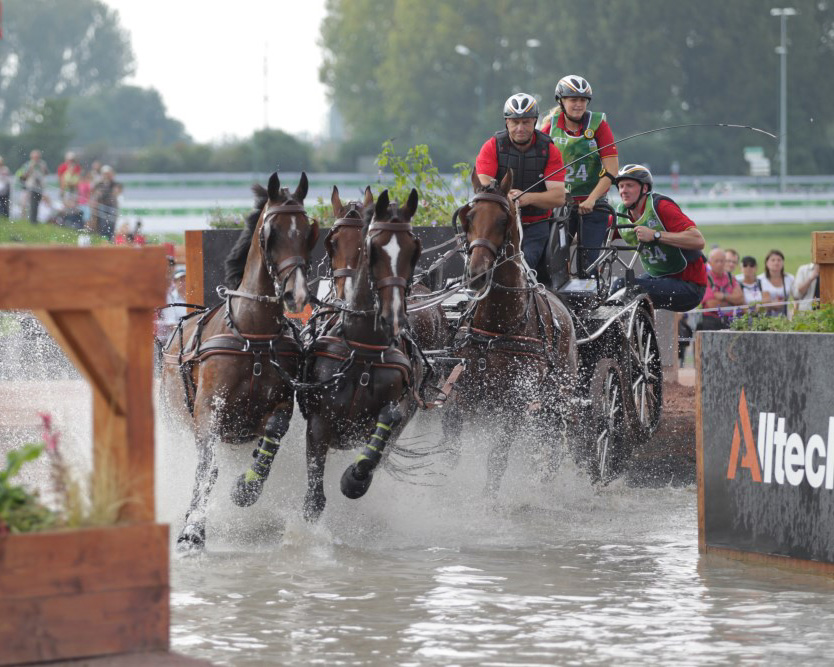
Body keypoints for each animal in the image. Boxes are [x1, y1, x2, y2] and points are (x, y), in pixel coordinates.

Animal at [161, 172, 316, 552]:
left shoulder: (281, 402)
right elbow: (207, 466)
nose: (297, 294)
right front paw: (193, 529)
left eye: (309, 232)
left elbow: (273, 435)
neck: (252, 334)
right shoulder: (208, 407)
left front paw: (246, 488)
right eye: (271, 234)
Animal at [296, 188, 422, 520]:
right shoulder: (319, 421)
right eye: (332, 241)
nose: (394, 314)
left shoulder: (394, 411)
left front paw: (354, 479)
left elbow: (382, 433)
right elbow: (314, 497)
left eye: (414, 250)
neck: (363, 348)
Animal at [442, 170, 580, 496]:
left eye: (502, 220)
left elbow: (497, 458)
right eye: (469, 216)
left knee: (556, 442)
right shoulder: (462, 390)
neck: (497, 326)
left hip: (561, 394)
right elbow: (452, 446)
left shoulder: (514, 403)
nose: (477, 274)